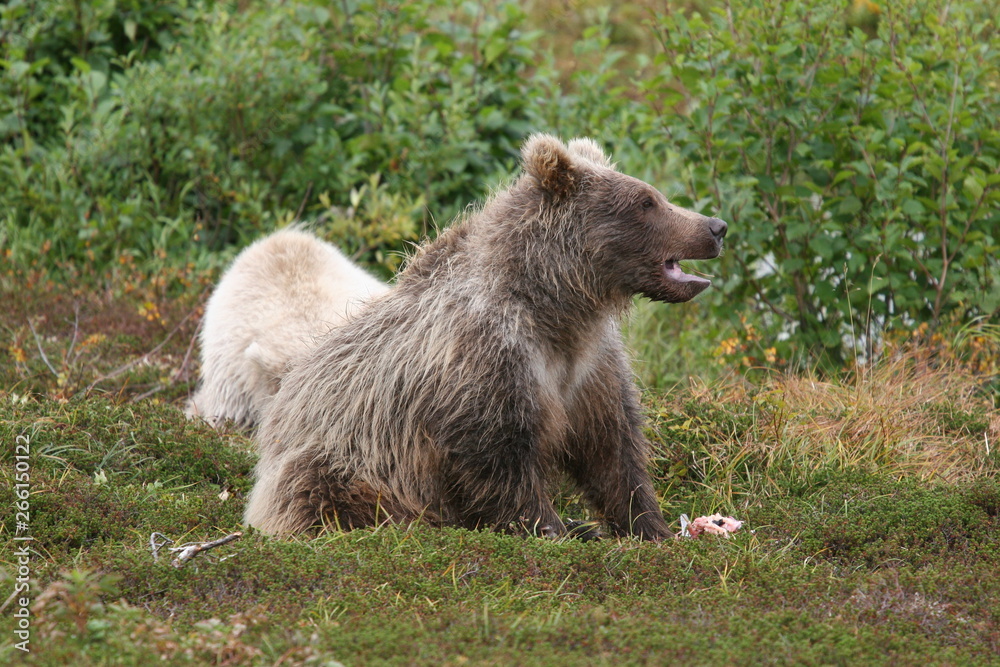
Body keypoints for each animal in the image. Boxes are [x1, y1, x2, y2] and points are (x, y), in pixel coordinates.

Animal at [244, 134, 727, 540]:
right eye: (647, 201)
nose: (716, 227)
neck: (556, 307)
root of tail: (280, 409)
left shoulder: (591, 366)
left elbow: (612, 449)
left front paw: (651, 527)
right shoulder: (484, 357)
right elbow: (498, 458)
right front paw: (552, 527)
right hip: (336, 459)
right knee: (325, 491)